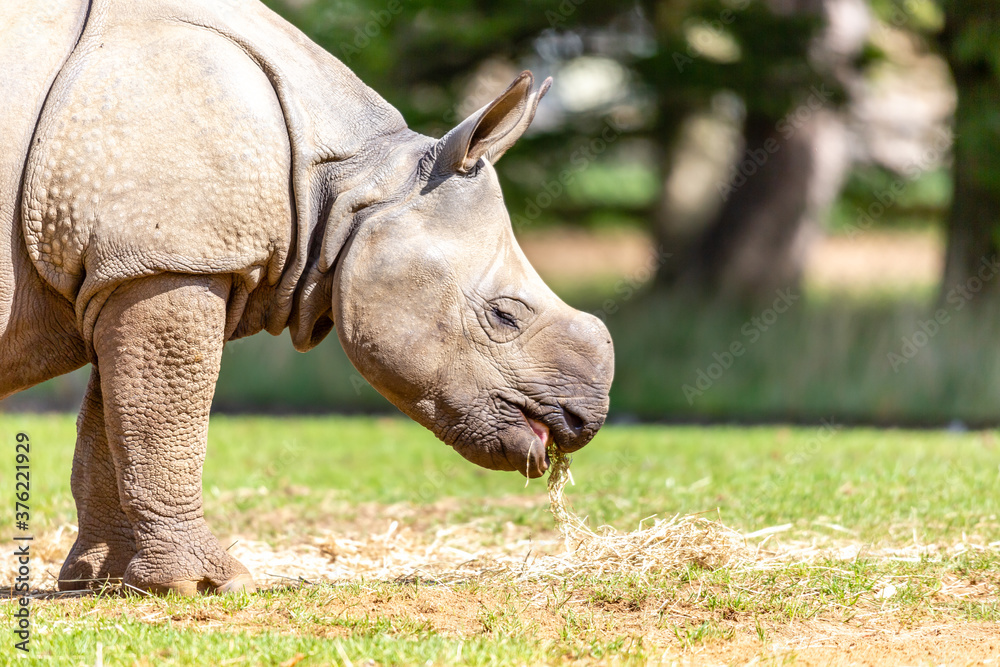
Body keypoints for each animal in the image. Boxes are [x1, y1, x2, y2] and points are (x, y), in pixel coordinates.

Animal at [0, 0, 614, 595]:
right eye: (505, 315)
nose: (584, 423)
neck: (353, 185)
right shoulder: (168, 262)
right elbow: (162, 421)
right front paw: (209, 585)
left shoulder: (136, 266)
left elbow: (110, 427)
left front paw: (102, 581)